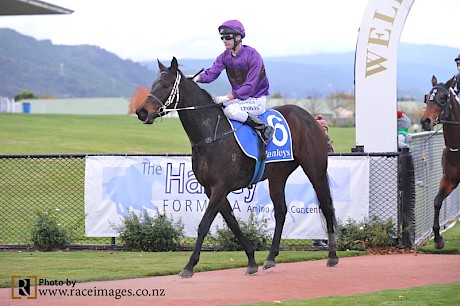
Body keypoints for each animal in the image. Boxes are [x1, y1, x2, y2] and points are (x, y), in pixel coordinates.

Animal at [135, 57, 340, 278]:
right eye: (153, 84)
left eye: (165, 85)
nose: (141, 112)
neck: (212, 135)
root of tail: (311, 118)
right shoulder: (211, 189)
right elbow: (233, 223)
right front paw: (251, 260)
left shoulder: (220, 187)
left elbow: (204, 224)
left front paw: (189, 266)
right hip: (277, 176)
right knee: (281, 211)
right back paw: (270, 258)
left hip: (315, 169)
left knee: (326, 206)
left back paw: (332, 256)